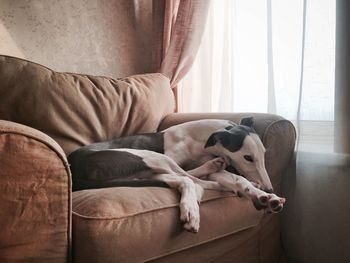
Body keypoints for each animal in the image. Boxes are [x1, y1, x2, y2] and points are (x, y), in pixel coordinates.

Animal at [67, 117, 284, 233]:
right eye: (248, 157)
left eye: (264, 153)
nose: (269, 187)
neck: (199, 140)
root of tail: (74, 169)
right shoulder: (173, 160)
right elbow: (196, 176)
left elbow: (236, 178)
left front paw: (262, 195)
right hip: (150, 157)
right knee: (190, 180)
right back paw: (193, 206)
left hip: (149, 169)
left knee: (189, 180)